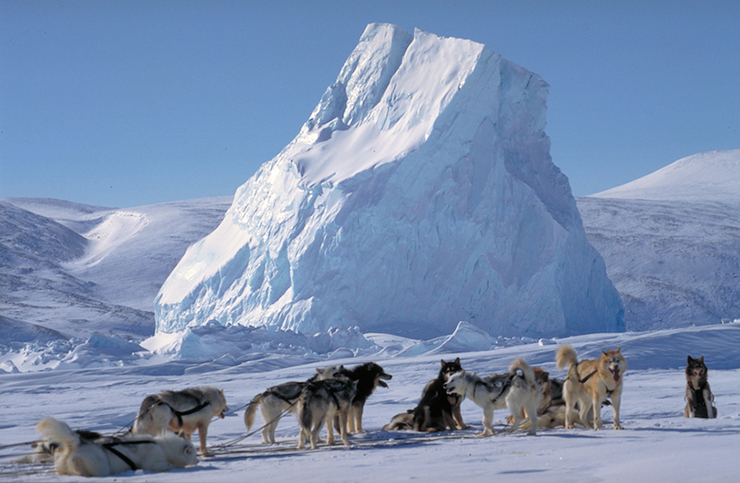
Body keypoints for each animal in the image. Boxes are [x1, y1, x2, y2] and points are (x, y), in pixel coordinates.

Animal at [36, 418, 198, 478]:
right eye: (194, 454)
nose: (197, 461)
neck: (162, 447)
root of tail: (76, 443)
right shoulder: (154, 463)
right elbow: (170, 465)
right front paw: (180, 467)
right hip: (100, 467)